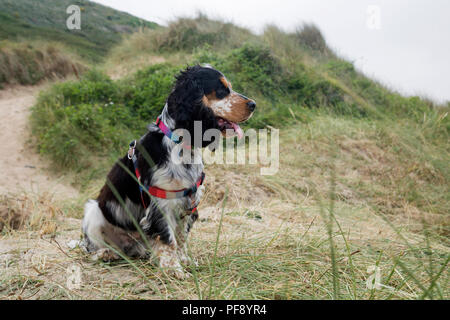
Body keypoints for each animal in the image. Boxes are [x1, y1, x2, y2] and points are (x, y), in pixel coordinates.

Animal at [82, 64, 255, 278]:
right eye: (222, 90)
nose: (253, 104)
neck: (180, 145)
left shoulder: (188, 202)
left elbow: (181, 238)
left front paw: (185, 262)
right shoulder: (162, 205)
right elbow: (168, 239)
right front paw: (174, 270)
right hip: (93, 211)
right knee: (91, 246)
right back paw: (106, 253)